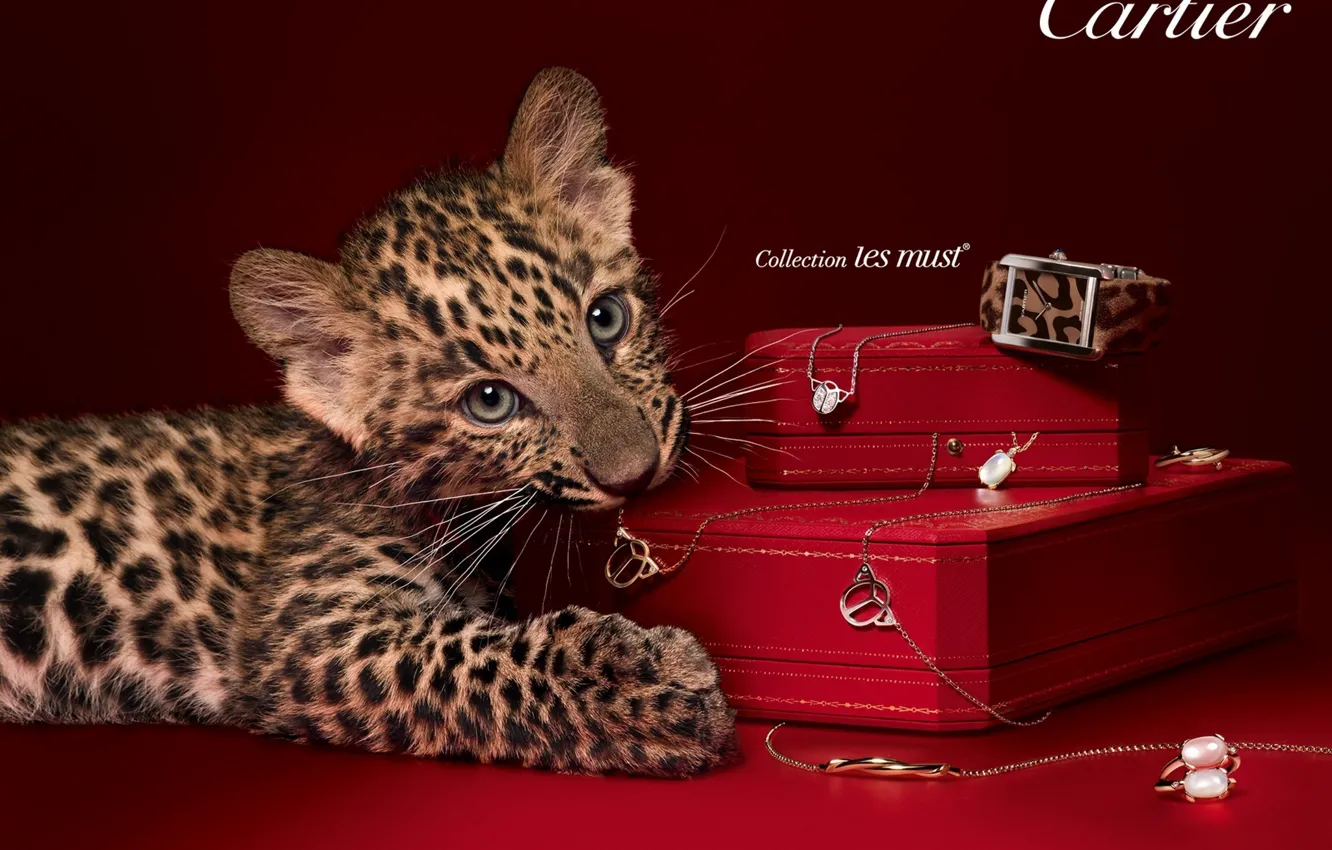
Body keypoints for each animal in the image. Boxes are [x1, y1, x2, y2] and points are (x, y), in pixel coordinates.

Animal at [0, 68, 737, 777]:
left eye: (606, 318)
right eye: (490, 402)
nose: (636, 475)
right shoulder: (308, 632)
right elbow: (471, 660)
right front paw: (648, 684)